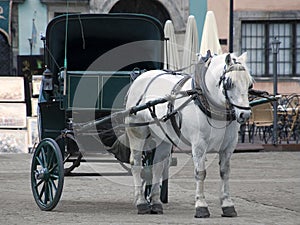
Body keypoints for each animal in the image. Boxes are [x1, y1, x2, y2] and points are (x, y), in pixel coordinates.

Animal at [124, 52, 253, 216]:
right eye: (229, 83)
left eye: (249, 84)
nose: (245, 114)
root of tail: (140, 76)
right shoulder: (199, 145)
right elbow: (200, 173)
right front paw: (201, 206)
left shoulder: (228, 146)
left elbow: (225, 172)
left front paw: (227, 205)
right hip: (137, 132)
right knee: (136, 164)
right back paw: (141, 202)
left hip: (162, 138)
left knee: (157, 166)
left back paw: (156, 203)